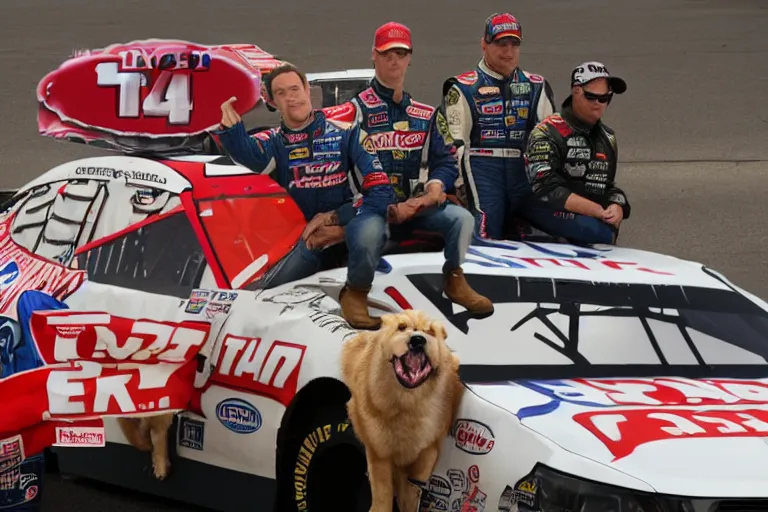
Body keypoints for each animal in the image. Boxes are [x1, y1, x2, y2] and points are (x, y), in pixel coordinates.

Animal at [340, 310, 462, 510]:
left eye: (431, 332)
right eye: (402, 327)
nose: (417, 340)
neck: (406, 406)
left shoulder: (428, 449)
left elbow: (411, 494)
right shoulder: (378, 451)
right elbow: (383, 494)